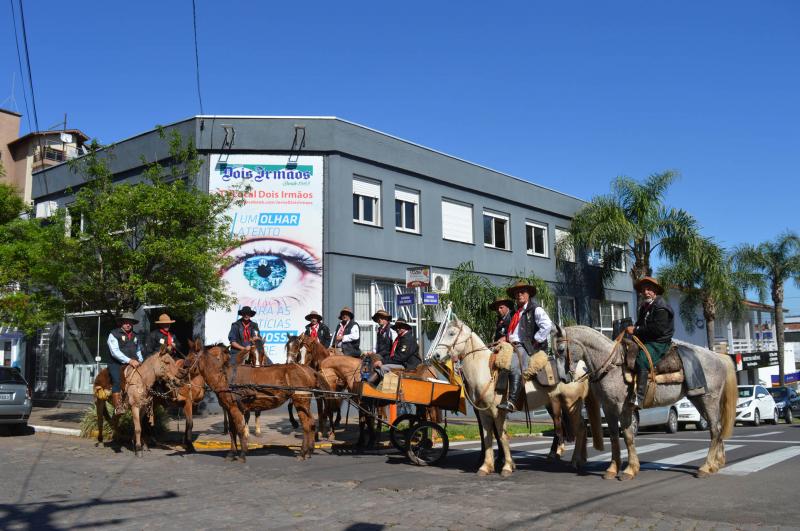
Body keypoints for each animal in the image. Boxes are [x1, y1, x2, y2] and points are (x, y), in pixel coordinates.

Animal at [186, 344, 324, 462]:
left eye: (191, 358)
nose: (182, 370)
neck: (225, 378)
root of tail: (309, 370)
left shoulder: (235, 409)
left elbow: (240, 429)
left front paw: (242, 454)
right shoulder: (230, 409)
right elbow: (232, 431)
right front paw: (232, 454)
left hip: (300, 401)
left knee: (306, 425)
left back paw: (303, 453)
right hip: (303, 403)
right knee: (311, 423)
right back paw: (308, 451)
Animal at [432, 320, 600, 478]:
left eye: (451, 333)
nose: (436, 356)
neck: (485, 370)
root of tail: (583, 367)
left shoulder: (497, 412)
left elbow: (502, 436)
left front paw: (507, 466)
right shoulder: (484, 414)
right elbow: (487, 438)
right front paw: (485, 467)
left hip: (570, 403)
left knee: (579, 428)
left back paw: (574, 460)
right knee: (579, 427)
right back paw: (579, 459)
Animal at [556, 324, 736, 482]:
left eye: (560, 350)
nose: (563, 379)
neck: (611, 365)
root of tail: (718, 357)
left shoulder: (623, 408)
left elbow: (628, 436)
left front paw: (629, 470)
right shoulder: (608, 408)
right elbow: (614, 436)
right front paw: (612, 469)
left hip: (709, 399)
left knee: (715, 429)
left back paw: (706, 467)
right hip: (699, 398)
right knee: (716, 427)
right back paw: (716, 464)